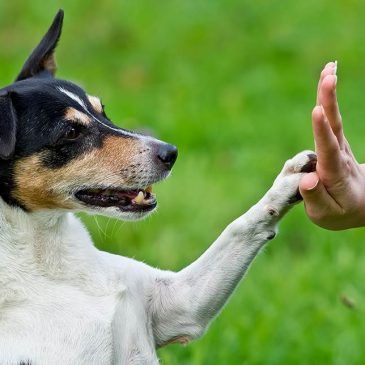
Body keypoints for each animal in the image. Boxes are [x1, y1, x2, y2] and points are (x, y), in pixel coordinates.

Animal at [0, 9, 316, 364]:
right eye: (70, 132)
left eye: (102, 110)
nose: (170, 153)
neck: (46, 254)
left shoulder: (180, 304)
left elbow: (240, 227)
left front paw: (290, 180)